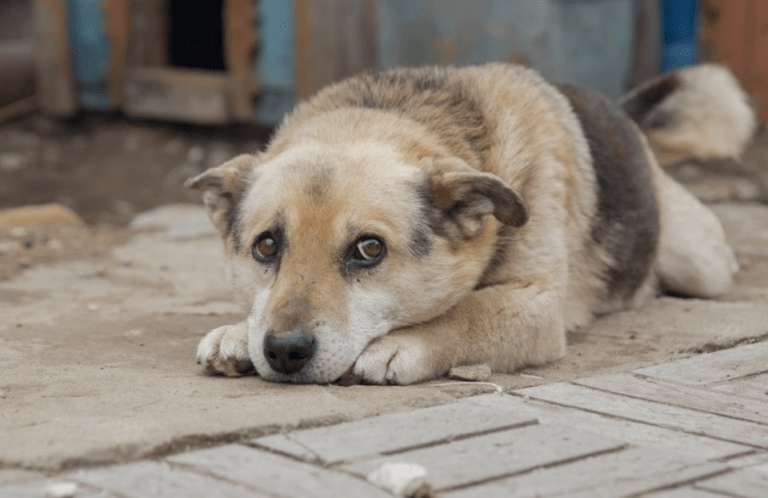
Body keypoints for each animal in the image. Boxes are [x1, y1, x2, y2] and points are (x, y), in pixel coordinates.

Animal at [188, 62, 756, 386]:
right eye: (266, 246)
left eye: (369, 249)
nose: (284, 351)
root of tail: (623, 116)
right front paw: (237, 332)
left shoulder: (538, 306)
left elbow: (471, 309)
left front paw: (406, 341)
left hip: (698, 264)